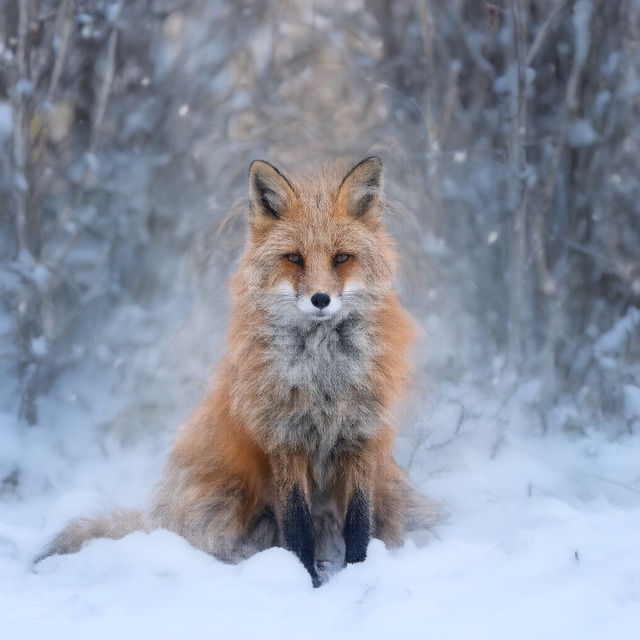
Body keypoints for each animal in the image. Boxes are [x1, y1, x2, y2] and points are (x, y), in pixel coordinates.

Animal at [37, 156, 439, 586]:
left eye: (341, 258)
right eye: (294, 258)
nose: (321, 299)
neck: (323, 377)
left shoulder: (362, 438)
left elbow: (359, 523)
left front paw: (358, 576)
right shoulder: (284, 440)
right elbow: (297, 525)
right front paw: (305, 583)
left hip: (392, 490)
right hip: (225, 500)